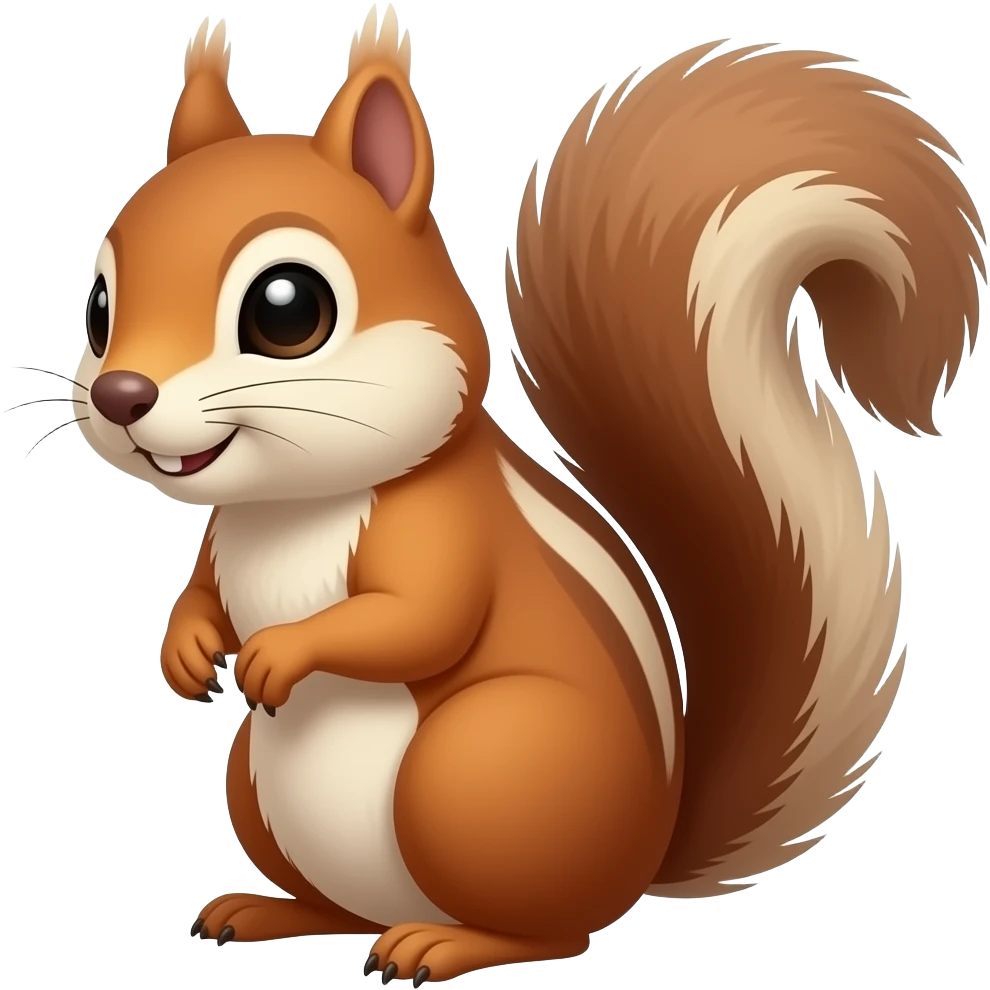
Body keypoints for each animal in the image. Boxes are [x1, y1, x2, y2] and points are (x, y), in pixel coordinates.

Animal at [70, 7, 984, 985]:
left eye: (288, 310)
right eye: (97, 306)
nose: (122, 395)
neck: (291, 505)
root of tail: (644, 860)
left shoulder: (443, 530)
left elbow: (418, 618)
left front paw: (280, 652)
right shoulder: (223, 540)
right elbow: (203, 591)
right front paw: (185, 649)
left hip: (480, 766)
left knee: (553, 931)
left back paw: (442, 944)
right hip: (258, 782)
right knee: (347, 909)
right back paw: (270, 910)